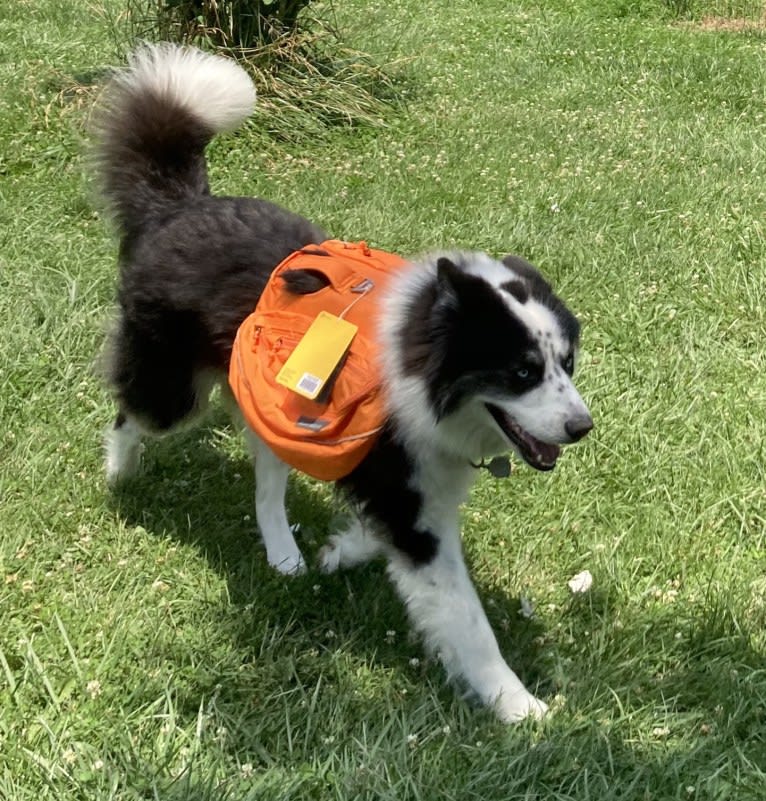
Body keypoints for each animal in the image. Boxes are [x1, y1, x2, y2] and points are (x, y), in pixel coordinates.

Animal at [94, 45, 592, 724]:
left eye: (567, 362)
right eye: (522, 372)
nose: (582, 427)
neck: (419, 355)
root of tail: (179, 205)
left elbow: (374, 534)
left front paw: (343, 549)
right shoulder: (409, 500)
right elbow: (466, 621)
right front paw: (519, 707)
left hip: (275, 403)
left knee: (265, 482)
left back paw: (284, 556)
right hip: (174, 390)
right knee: (132, 413)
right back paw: (119, 474)